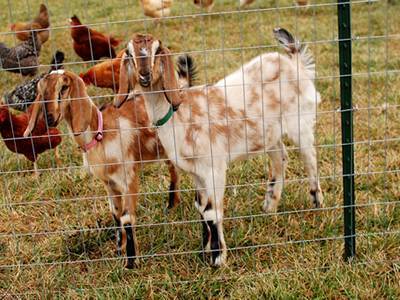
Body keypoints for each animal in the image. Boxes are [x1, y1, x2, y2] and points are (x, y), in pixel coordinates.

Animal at [23, 71, 181, 270]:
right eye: (41, 91)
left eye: (64, 87)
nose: (49, 117)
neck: (100, 132)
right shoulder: (109, 183)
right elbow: (115, 214)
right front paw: (119, 250)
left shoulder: (129, 178)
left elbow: (127, 218)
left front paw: (131, 263)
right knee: (174, 171)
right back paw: (172, 205)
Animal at [114, 28, 324, 268]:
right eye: (129, 52)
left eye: (157, 51)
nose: (145, 75)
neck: (180, 115)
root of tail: (295, 63)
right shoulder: (197, 173)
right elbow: (201, 208)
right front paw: (204, 250)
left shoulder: (214, 167)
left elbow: (212, 211)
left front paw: (217, 258)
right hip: (268, 134)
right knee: (281, 157)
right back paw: (270, 205)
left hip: (300, 122)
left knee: (310, 157)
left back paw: (317, 202)